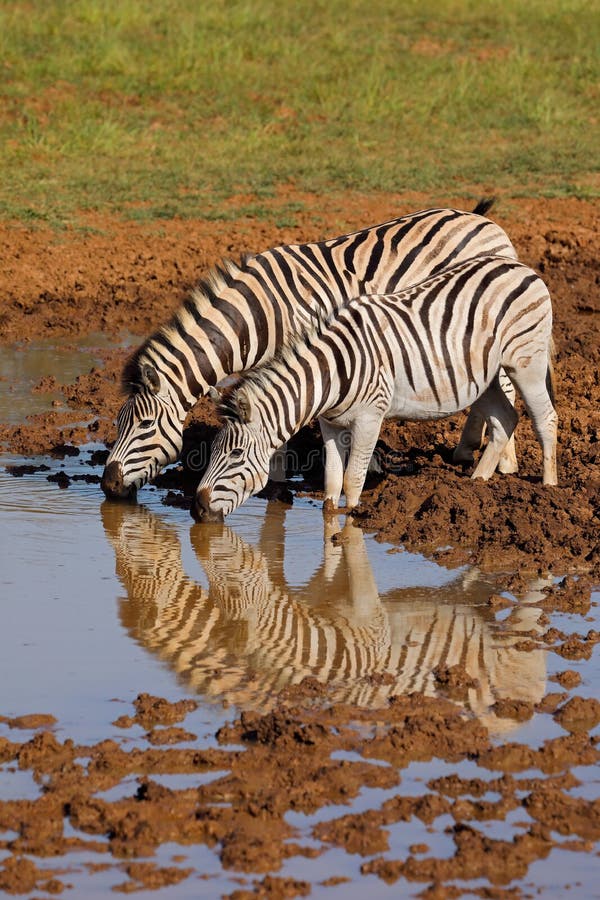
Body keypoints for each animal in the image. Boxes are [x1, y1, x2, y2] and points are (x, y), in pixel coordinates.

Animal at [101, 200, 516, 502]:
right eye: (119, 423)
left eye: (144, 425)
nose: (108, 485)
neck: (259, 316)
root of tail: (483, 221)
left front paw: (275, 479)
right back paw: (466, 451)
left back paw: (506, 464)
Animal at [196, 253, 556, 520]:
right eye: (212, 450)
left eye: (236, 454)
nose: (198, 510)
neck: (331, 374)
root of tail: (519, 266)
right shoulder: (329, 423)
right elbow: (332, 480)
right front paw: (330, 518)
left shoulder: (370, 418)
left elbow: (353, 480)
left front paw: (352, 520)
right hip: (488, 376)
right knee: (506, 418)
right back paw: (478, 482)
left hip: (526, 362)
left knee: (546, 418)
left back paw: (549, 488)